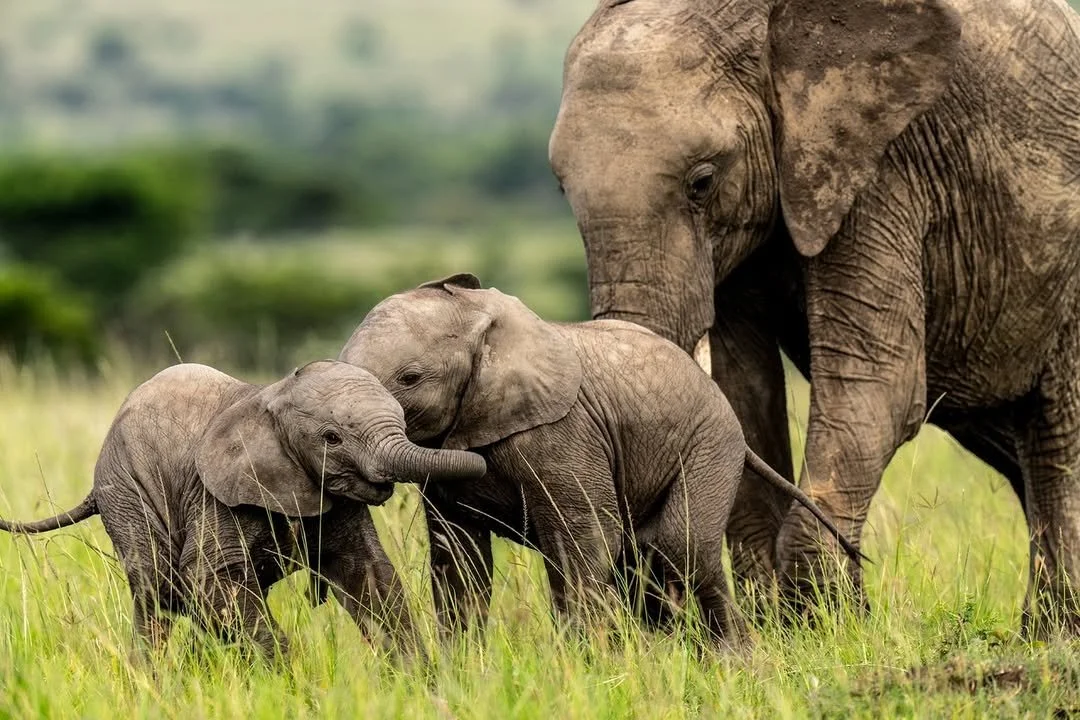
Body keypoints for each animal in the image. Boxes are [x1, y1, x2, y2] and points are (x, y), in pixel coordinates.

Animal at [0, 360, 487, 660]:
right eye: (331, 438)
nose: (480, 461)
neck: (270, 398)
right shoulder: (212, 491)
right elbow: (207, 575)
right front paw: (289, 683)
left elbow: (368, 572)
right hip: (126, 491)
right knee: (158, 590)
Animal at [338, 273, 863, 642]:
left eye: (409, 378)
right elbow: (459, 559)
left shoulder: (563, 434)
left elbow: (583, 539)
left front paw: (585, 661)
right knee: (642, 560)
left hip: (710, 446)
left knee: (682, 549)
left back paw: (736, 662)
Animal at [547, 0, 1080, 633]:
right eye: (560, 189)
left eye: (702, 182)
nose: (650, 609)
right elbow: (741, 393)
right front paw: (776, 626)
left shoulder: (885, 166)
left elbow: (877, 386)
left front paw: (830, 623)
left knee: (1056, 439)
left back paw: (1053, 634)